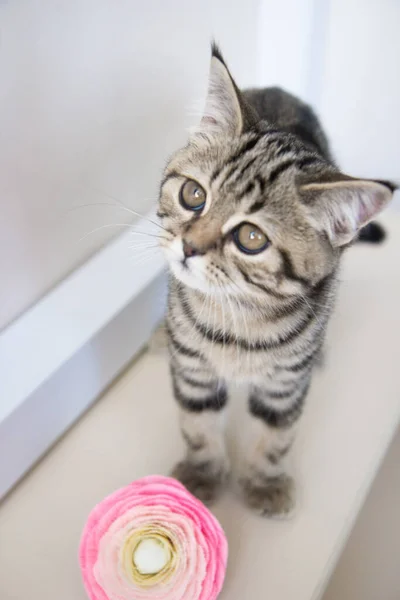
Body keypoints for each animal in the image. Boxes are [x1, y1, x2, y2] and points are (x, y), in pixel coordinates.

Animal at [157, 45, 396, 516]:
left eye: (251, 238)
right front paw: (201, 474)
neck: (238, 316)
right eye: (193, 195)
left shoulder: (284, 385)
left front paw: (266, 481)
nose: (189, 247)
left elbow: (276, 433)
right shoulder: (193, 369)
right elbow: (197, 422)